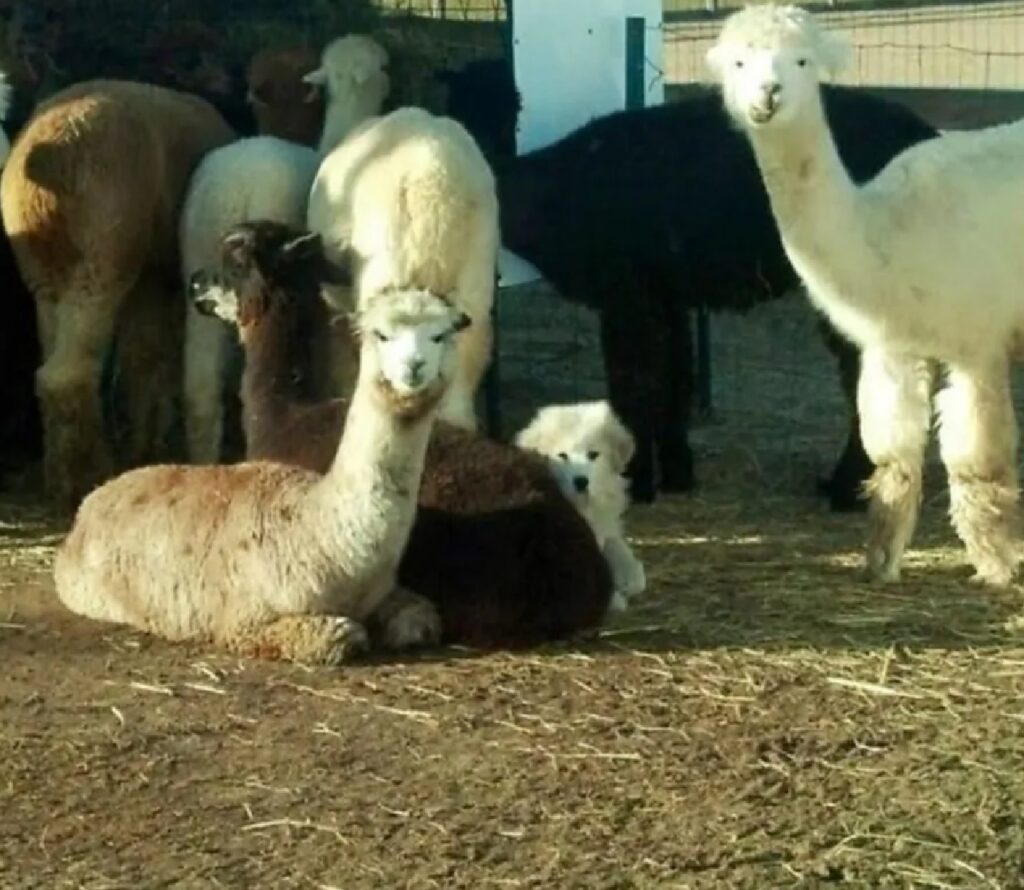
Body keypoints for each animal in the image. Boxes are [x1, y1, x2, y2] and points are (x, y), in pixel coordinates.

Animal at [516, 401, 643, 610]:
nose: (581, 481)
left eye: (593, 454)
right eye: (562, 456)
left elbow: (616, 544)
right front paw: (614, 599)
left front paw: (631, 575)